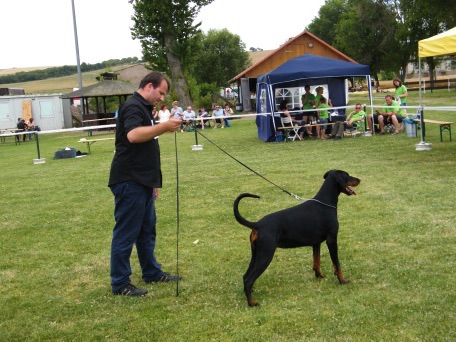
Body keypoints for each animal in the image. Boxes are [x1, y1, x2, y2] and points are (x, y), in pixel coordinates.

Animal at [235, 170, 360, 306]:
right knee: (249, 279)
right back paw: (252, 303)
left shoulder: (316, 243)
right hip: (266, 255)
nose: (359, 179)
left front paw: (319, 276)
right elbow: (337, 265)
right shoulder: (332, 240)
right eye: (347, 175)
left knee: (245, 276)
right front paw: (342, 281)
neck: (325, 203)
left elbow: (316, 262)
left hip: (256, 254)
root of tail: (257, 224)